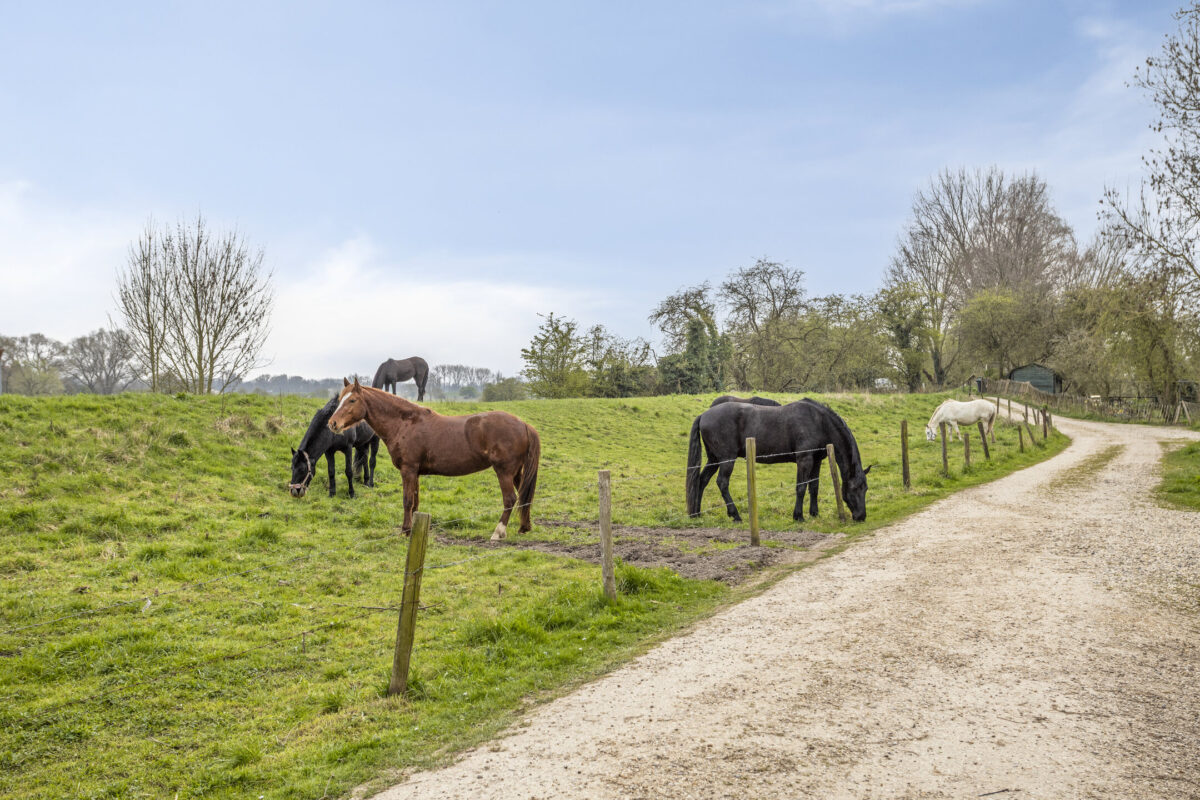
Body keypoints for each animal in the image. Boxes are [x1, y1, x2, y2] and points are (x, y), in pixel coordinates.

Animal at [328, 378, 540, 539]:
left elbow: (407, 501)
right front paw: (413, 530)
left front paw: (405, 531)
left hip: (504, 471)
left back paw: (498, 532)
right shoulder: (416, 473)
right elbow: (415, 501)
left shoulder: (408, 470)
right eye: (340, 399)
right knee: (524, 496)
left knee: (510, 498)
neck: (405, 423)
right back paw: (524, 527)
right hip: (516, 472)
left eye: (352, 400)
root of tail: (523, 424)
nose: (333, 423)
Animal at [686, 399, 871, 522]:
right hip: (726, 460)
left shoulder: (816, 461)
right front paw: (798, 516)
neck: (818, 422)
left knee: (701, 481)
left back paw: (697, 514)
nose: (861, 516)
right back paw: (735, 515)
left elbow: (814, 487)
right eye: (855, 488)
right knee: (722, 483)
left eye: (865, 489)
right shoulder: (804, 460)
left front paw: (814, 513)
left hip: (714, 459)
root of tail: (704, 414)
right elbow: (801, 487)